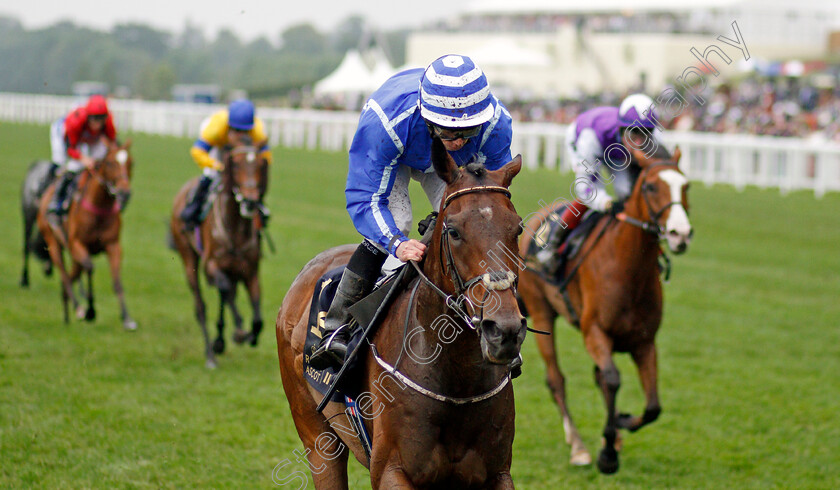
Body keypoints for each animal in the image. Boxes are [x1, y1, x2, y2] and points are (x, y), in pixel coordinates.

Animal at [23, 138, 135, 330]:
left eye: (130, 163)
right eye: (110, 163)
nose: (124, 192)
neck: (99, 206)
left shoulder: (113, 246)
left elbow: (117, 281)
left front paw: (126, 318)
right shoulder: (77, 244)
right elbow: (89, 267)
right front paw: (91, 311)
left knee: (70, 276)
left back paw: (67, 312)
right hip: (53, 242)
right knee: (64, 275)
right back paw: (77, 308)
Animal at [172, 136, 270, 370]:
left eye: (259, 164)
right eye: (236, 164)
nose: (250, 200)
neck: (235, 228)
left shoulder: (250, 270)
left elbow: (257, 315)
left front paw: (249, 334)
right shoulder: (212, 265)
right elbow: (225, 290)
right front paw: (238, 332)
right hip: (188, 257)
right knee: (201, 306)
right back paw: (211, 352)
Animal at [276, 139, 524, 490]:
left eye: (517, 228)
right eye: (454, 231)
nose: (503, 330)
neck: (457, 381)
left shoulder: (498, 473)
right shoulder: (391, 470)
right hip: (316, 436)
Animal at [520, 146, 692, 474]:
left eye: (686, 186)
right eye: (651, 187)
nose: (681, 234)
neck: (628, 269)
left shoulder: (645, 342)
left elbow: (653, 406)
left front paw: (620, 425)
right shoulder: (595, 332)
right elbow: (612, 379)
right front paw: (608, 455)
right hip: (541, 312)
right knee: (556, 380)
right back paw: (578, 446)